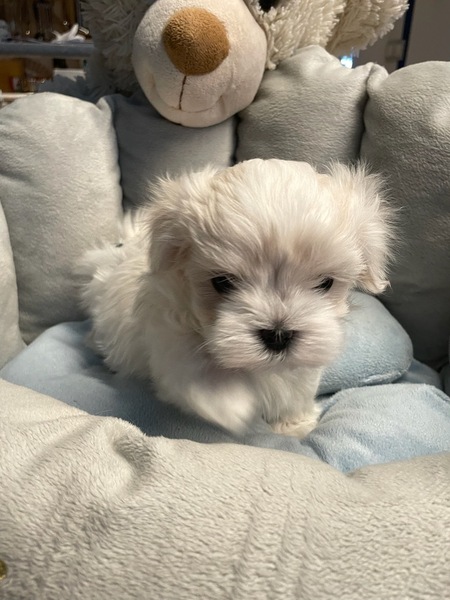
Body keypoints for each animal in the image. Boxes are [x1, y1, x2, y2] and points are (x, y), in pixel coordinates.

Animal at [78, 158, 393, 437]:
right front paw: (229, 403)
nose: (278, 334)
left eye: (325, 283)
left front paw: (293, 424)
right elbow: (192, 366)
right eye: (222, 283)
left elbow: (296, 385)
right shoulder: (169, 334)